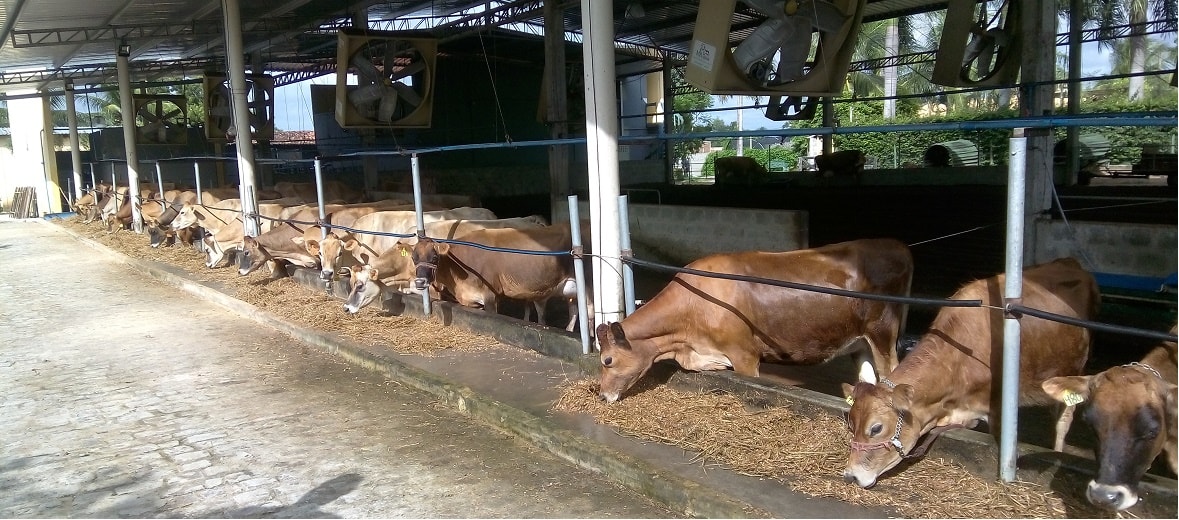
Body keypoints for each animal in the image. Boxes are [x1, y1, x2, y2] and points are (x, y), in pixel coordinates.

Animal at [594, 237, 914, 403]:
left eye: (607, 360)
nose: (601, 395)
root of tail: (897, 246)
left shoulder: (745, 355)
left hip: (883, 333)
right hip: (860, 341)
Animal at [839, 257, 1094, 488]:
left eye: (876, 428)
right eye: (851, 424)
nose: (851, 476)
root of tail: (1070, 262)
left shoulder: (998, 408)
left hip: (1074, 370)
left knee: (1063, 420)